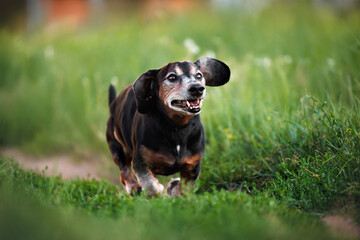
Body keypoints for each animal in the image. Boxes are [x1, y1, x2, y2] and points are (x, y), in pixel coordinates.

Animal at [107, 56, 231, 197]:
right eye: (172, 77)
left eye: (199, 75)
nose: (197, 88)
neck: (177, 128)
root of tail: (113, 104)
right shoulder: (140, 163)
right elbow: (150, 184)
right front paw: (158, 189)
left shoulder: (192, 166)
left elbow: (184, 188)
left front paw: (173, 188)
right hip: (118, 148)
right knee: (124, 171)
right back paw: (134, 187)